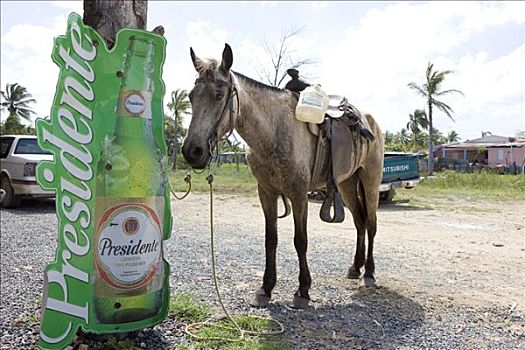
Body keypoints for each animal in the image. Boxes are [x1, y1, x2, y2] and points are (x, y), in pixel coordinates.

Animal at [182, 43, 382, 308]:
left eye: (218, 95)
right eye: (191, 96)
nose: (192, 151)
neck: (274, 131)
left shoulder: (299, 194)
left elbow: (301, 240)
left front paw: (303, 290)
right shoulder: (266, 192)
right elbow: (271, 239)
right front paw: (266, 288)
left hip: (370, 182)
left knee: (370, 224)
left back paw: (369, 273)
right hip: (348, 184)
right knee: (359, 222)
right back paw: (355, 268)